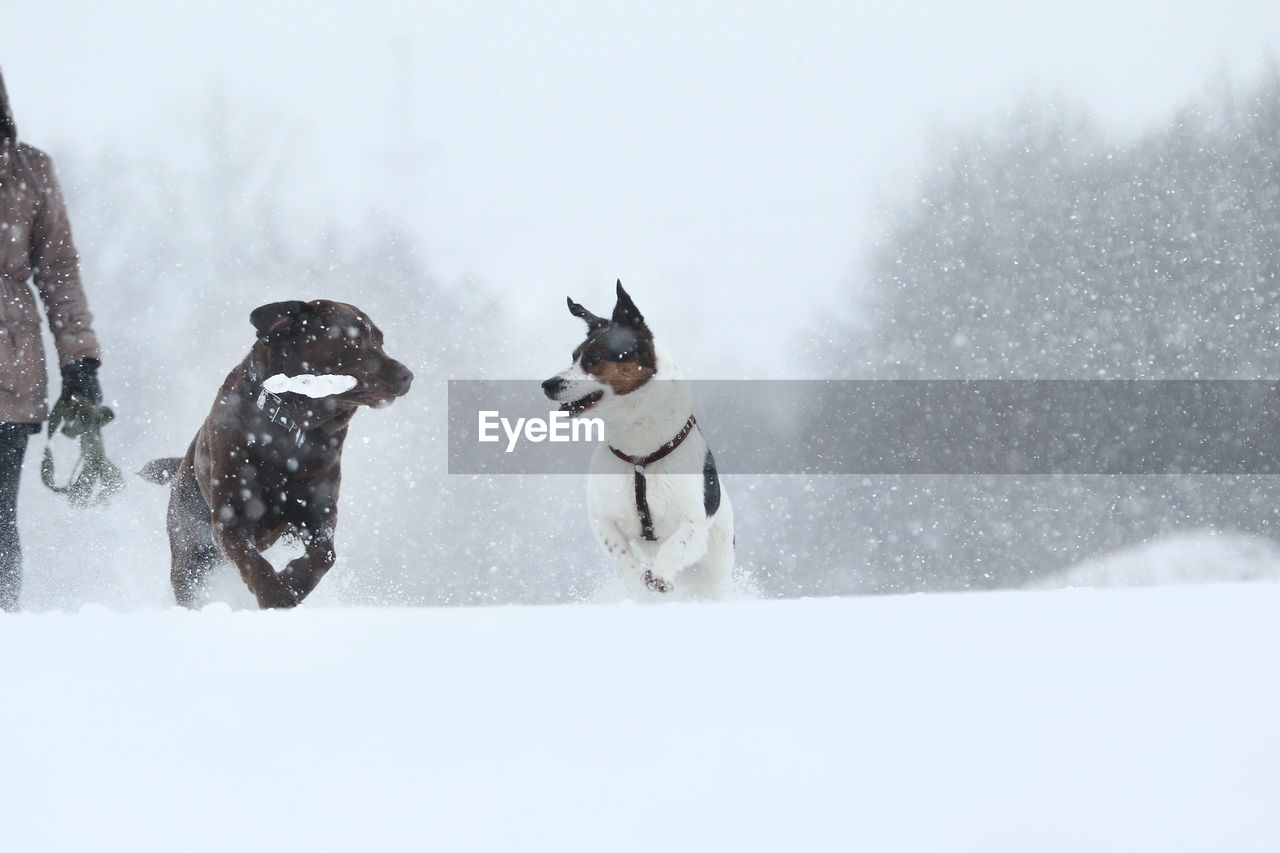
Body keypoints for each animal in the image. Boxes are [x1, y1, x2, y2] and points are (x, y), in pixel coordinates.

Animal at [145, 298, 414, 604]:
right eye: (354, 340)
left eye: (380, 341)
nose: (407, 376)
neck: (292, 428)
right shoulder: (230, 521)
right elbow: (253, 561)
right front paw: (276, 596)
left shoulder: (319, 515)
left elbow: (325, 555)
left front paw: (292, 582)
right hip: (190, 553)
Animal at [542, 280, 737, 596]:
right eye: (573, 357)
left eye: (593, 358)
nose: (547, 385)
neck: (640, 454)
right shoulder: (602, 518)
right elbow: (619, 553)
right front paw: (636, 581)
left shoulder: (695, 523)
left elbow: (677, 542)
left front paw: (659, 575)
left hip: (716, 564)